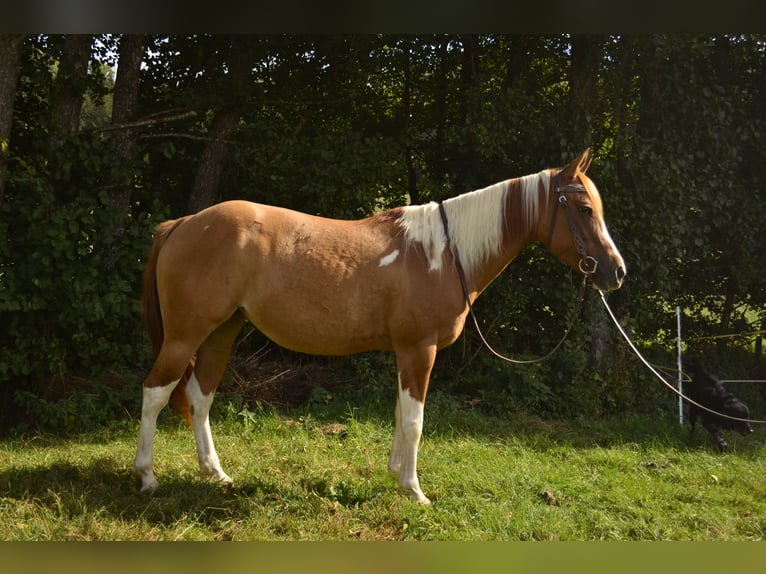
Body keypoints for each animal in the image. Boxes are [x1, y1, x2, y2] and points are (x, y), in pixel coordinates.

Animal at [134, 148, 626, 504]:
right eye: (584, 209)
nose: (615, 272)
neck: (442, 253)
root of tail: (183, 223)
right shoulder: (419, 349)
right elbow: (414, 420)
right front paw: (414, 490)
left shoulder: (406, 353)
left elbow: (399, 413)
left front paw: (396, 476)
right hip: (185, 335)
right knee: (156, 392)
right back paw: (147, 476)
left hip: (222, 332)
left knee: (200, 396)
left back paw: (215, 473)